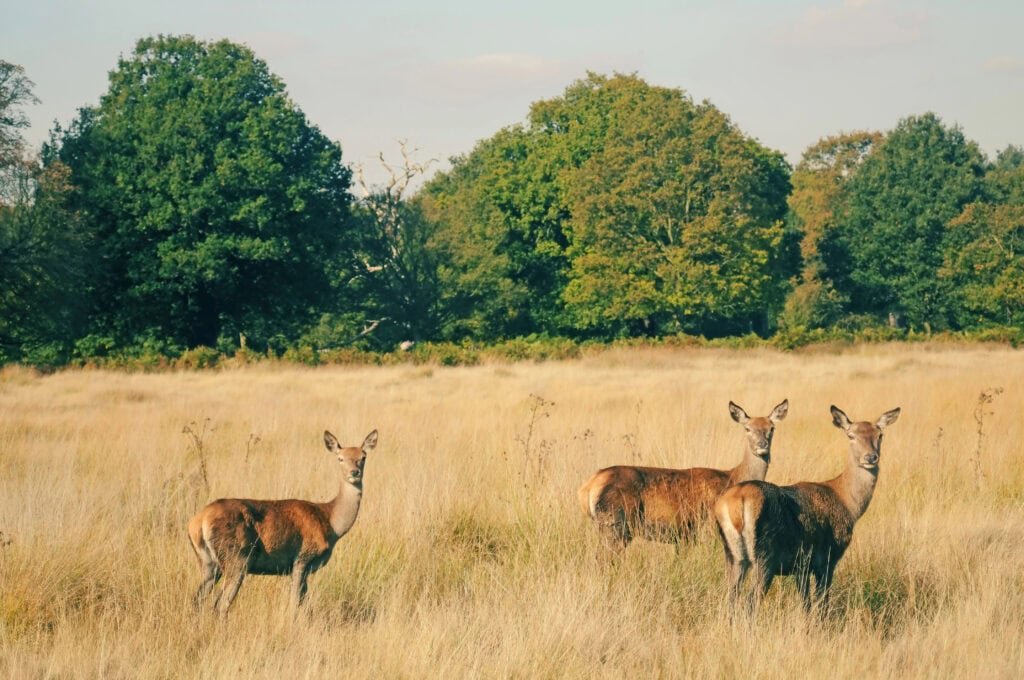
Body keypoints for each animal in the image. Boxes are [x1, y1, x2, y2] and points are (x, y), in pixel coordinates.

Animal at [187, 429, 378, 616]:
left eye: (363, 457)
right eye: (340, 458)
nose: (354, 472)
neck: (330, 523)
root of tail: (198, 521)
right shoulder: (302, 558)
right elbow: (296, 604)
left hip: (208, 563)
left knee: (197, 601)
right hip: (237, 558)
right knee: (220, 604)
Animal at [578, 399, 788, 553]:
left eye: (771, 428)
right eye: (747, 428)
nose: (762, 444)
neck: (734, 477)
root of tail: (588, 487)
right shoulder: (708, 527)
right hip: (616, 523)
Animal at [714, 405, 900, 614]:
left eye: (880, 434)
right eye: (851, 435)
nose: (870, 457)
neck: (847, 503)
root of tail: (737, 500)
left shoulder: (801, 567)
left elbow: (806, 603)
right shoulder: (827, 559)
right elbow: (821, 603)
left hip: (734, 556)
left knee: (731, 599)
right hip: (765, 556)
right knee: (750, 602)